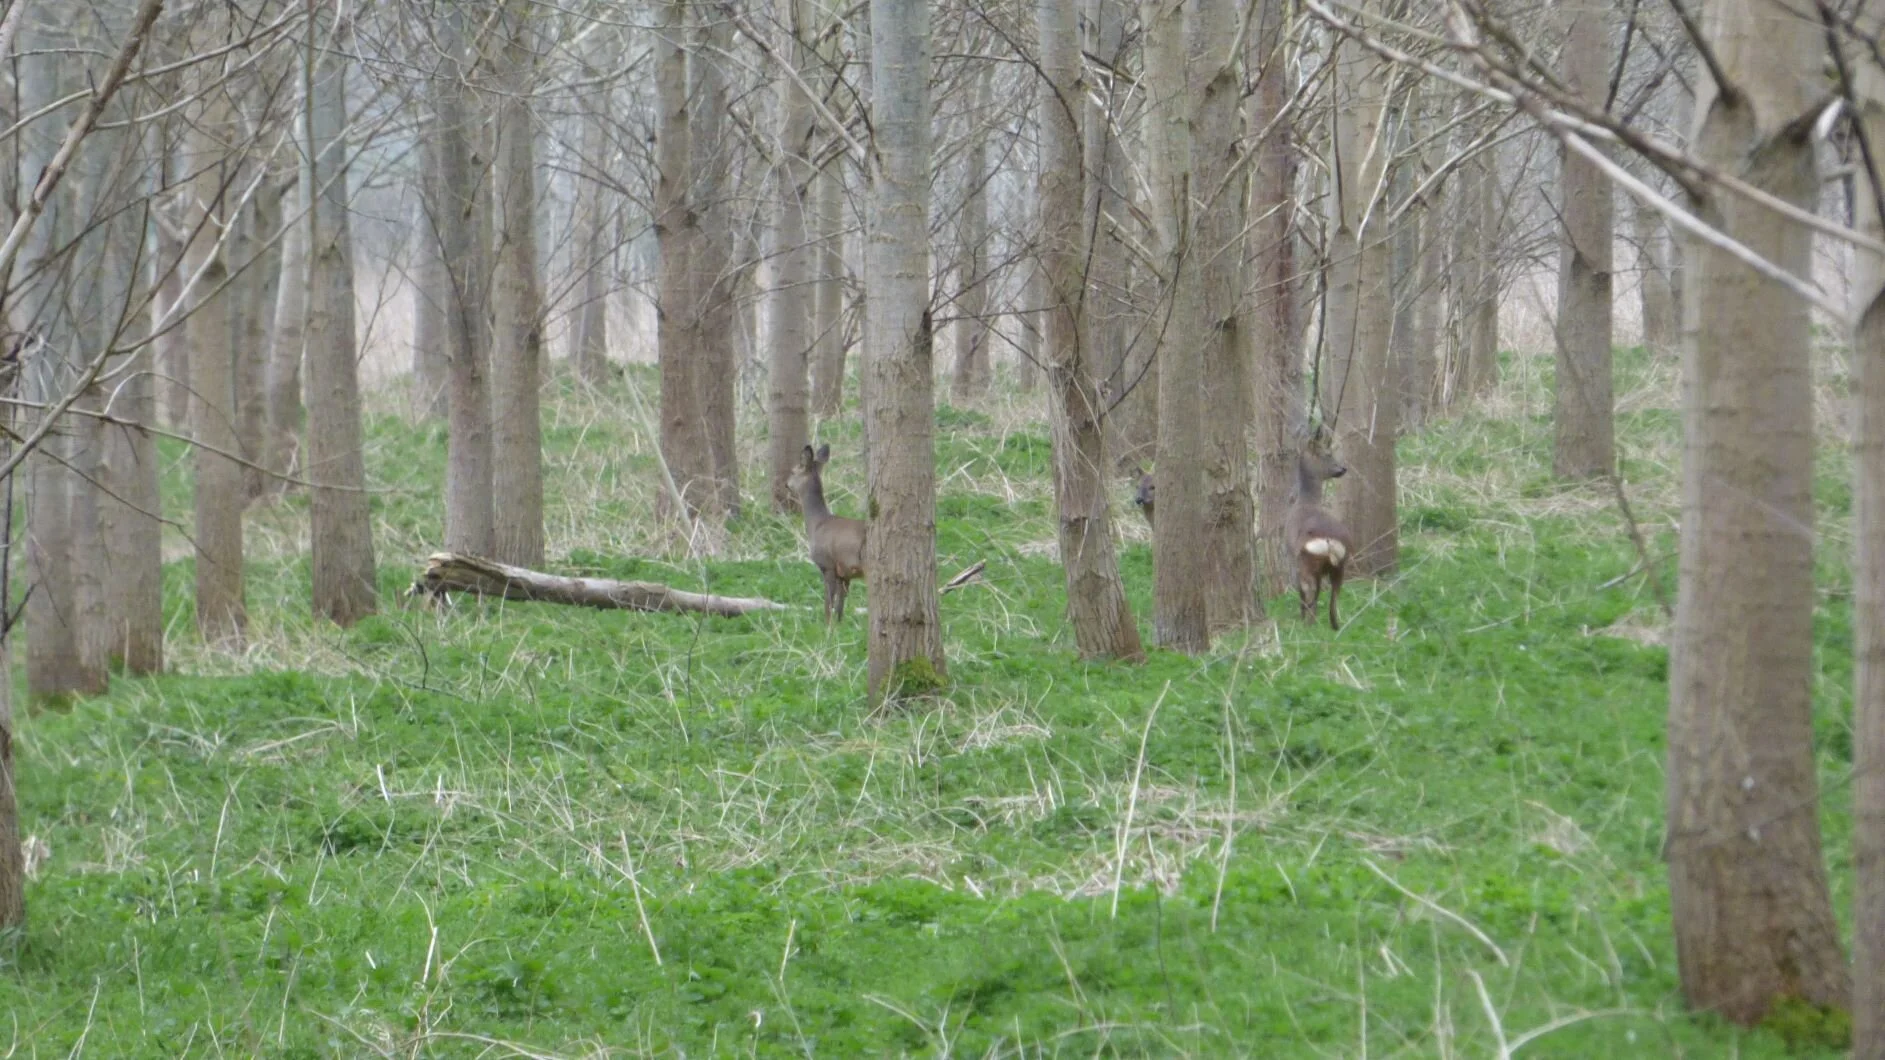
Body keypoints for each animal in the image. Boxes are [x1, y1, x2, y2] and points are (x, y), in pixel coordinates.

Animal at [787, 444, 868, 624]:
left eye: (794, 471)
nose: (786, 483)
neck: (817, 524)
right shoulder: (844, 574)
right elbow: (839, 608)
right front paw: (838, 626)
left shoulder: (827, 564)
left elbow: (828, 605)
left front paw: (826, 627)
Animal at [1285, 437, 1356, 631]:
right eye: (1327, 454)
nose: (1342, 468)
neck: (1305, 503)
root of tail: (1328, 541)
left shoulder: (1291, 555)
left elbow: (1301, 589)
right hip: (1341, 562)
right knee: (1334, 594)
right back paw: (1335, 626)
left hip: (1307, 561)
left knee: (1309, 590)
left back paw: (1309, 624)